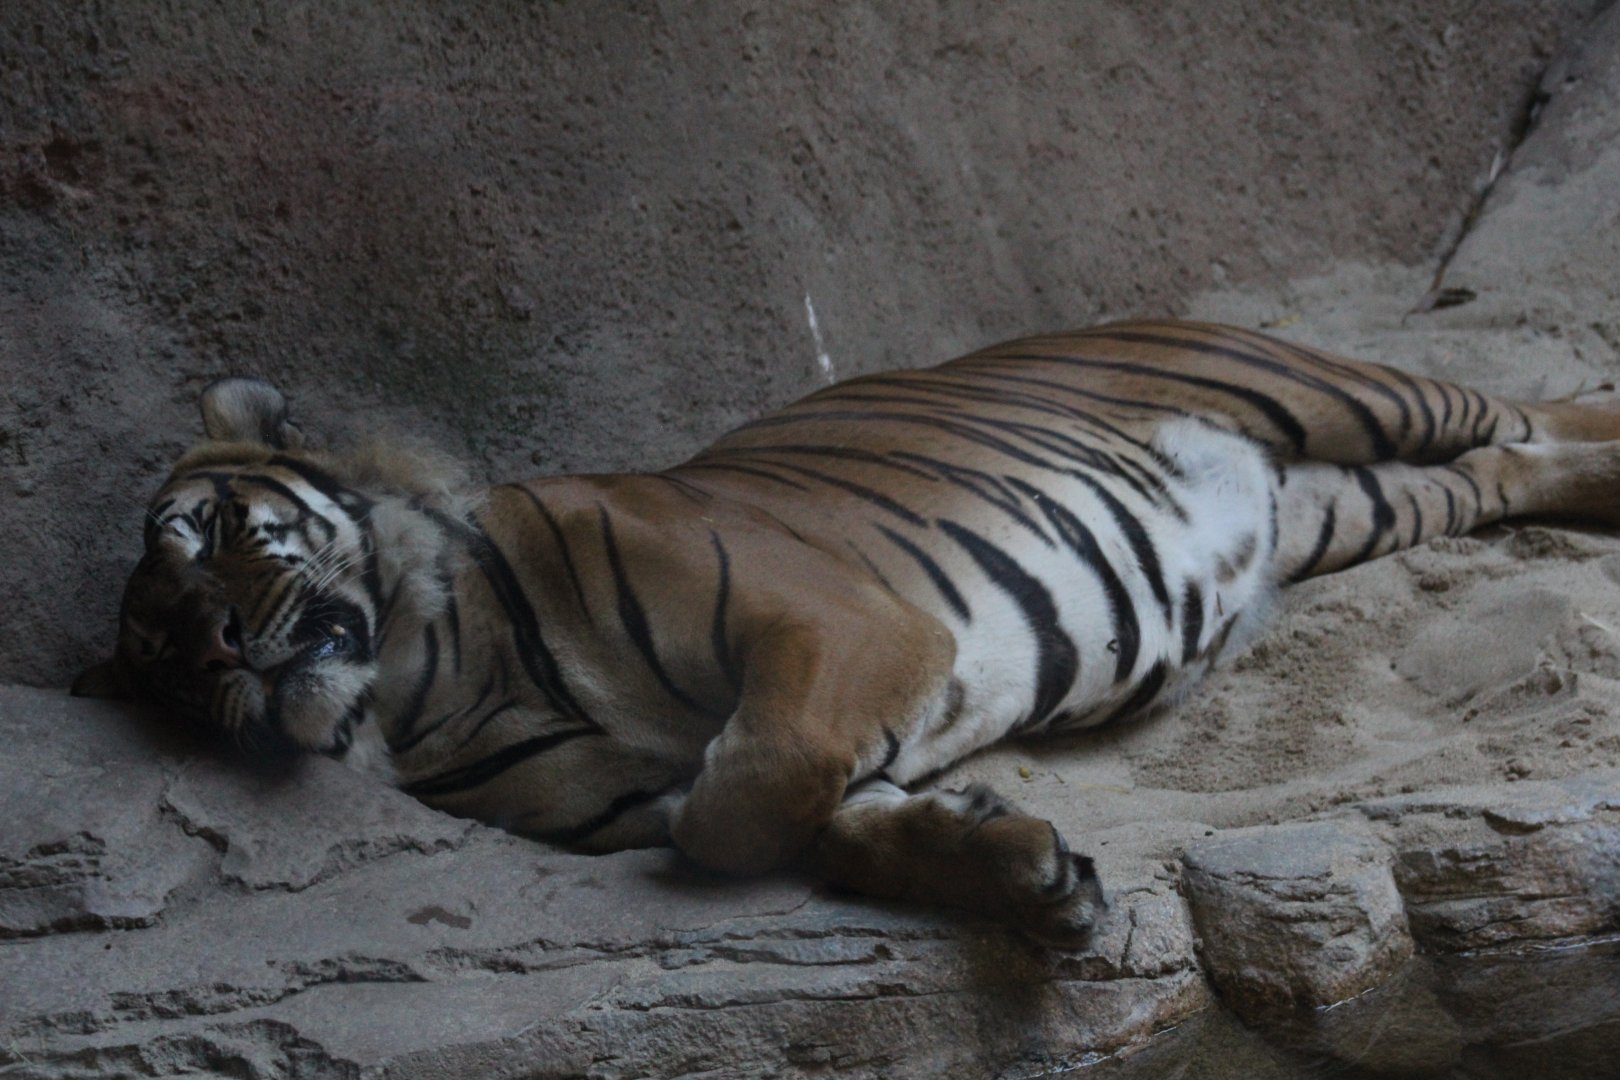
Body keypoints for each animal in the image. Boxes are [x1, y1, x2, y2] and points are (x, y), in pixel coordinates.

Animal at [73, 320, 1620, 946]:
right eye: (158, 660)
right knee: (1521, 460)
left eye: (210, 534)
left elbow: (742, 803)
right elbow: (800, 819)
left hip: (1336, 393)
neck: (432, 680)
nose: (215, 649)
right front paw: (1023, 869)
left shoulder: (832, 623)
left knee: (1528, 403)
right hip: (1354, 502)